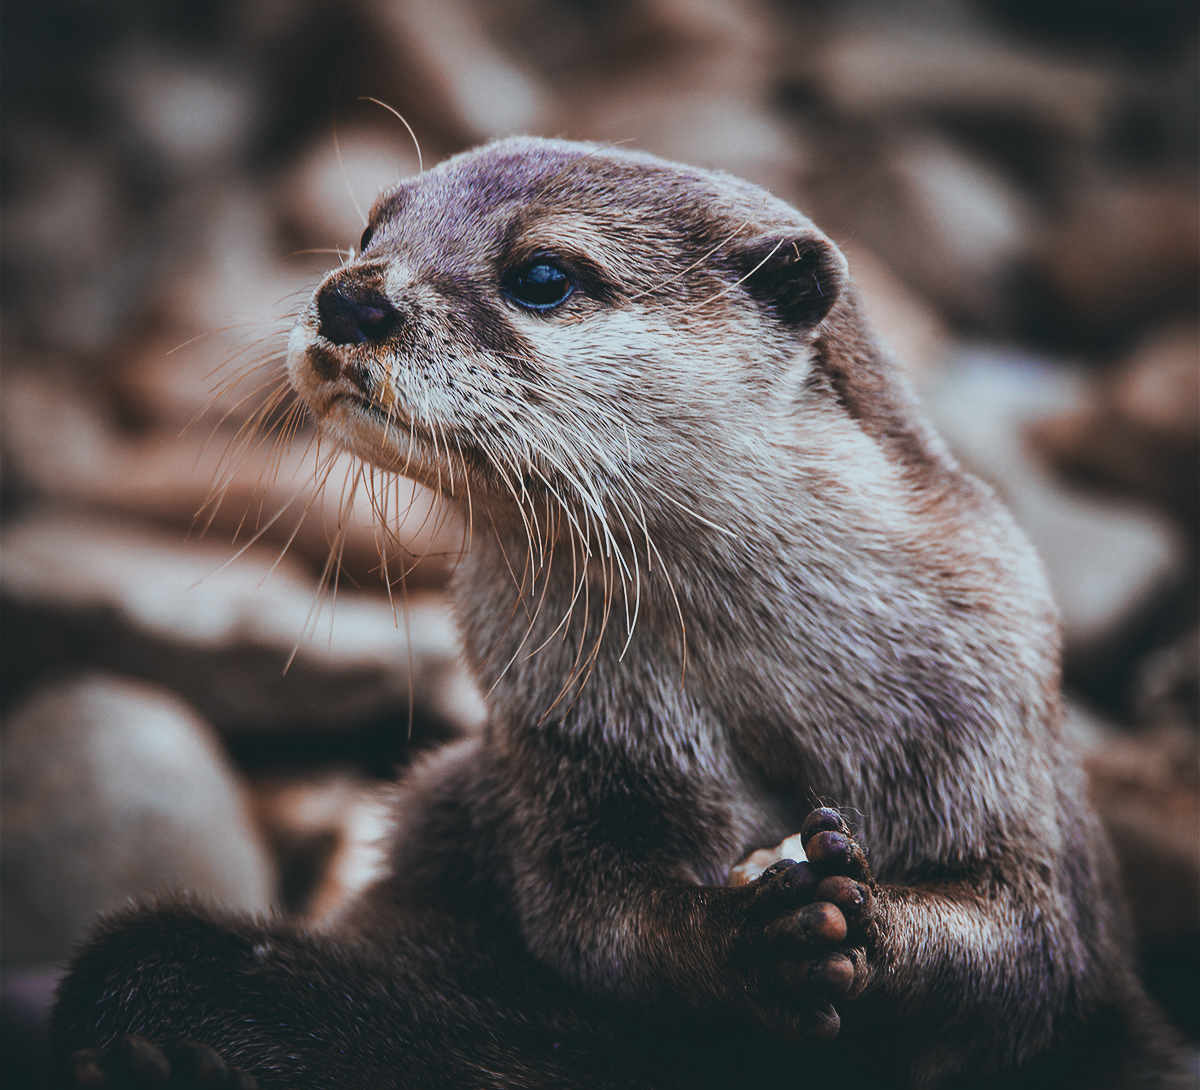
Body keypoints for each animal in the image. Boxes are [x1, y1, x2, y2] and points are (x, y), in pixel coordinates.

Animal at [49, 136, 1180, 1090]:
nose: (349, 298)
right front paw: (753, 933)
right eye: (371, 231)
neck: (770, 667)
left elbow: (1034, 945)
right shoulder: (573, 735)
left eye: (543, 276)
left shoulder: (992, 699)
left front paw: (865, 921)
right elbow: (597, 923)